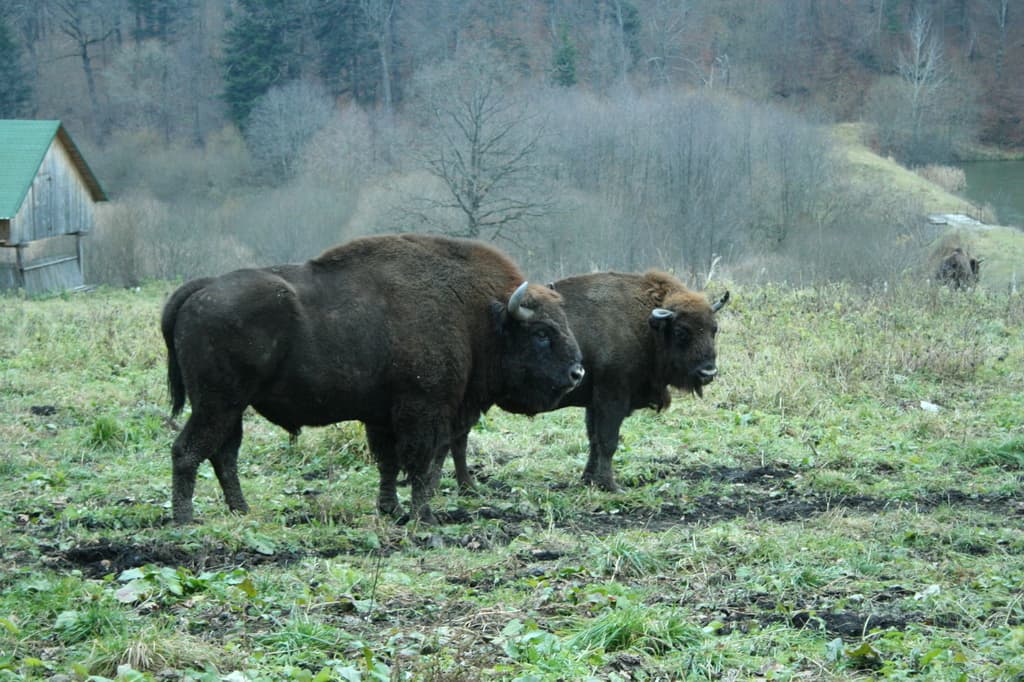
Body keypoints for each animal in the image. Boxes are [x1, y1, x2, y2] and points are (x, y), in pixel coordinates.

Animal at [161, 234, 584, 524]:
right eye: (542, 333)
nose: (577, 373)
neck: (480, 316)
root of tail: (203, 287)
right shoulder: (423, 410)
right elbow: (419, 464)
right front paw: (423, 516)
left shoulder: (382, 417)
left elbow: (388, 464)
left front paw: (390, 510)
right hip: (217, 403)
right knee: (188, 450)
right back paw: (185, 519)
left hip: (231, 407)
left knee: (224, 455)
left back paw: (241, 510)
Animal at [447, 270, 728, 492]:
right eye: (682, 331)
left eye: (714, 329)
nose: (708, 372)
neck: (645, 325)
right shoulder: (612, 399)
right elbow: (608, 441)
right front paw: (612, 486)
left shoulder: (594, 404)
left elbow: (594, 439)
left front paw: (589, 480)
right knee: (458, 439)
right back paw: (469, 486)